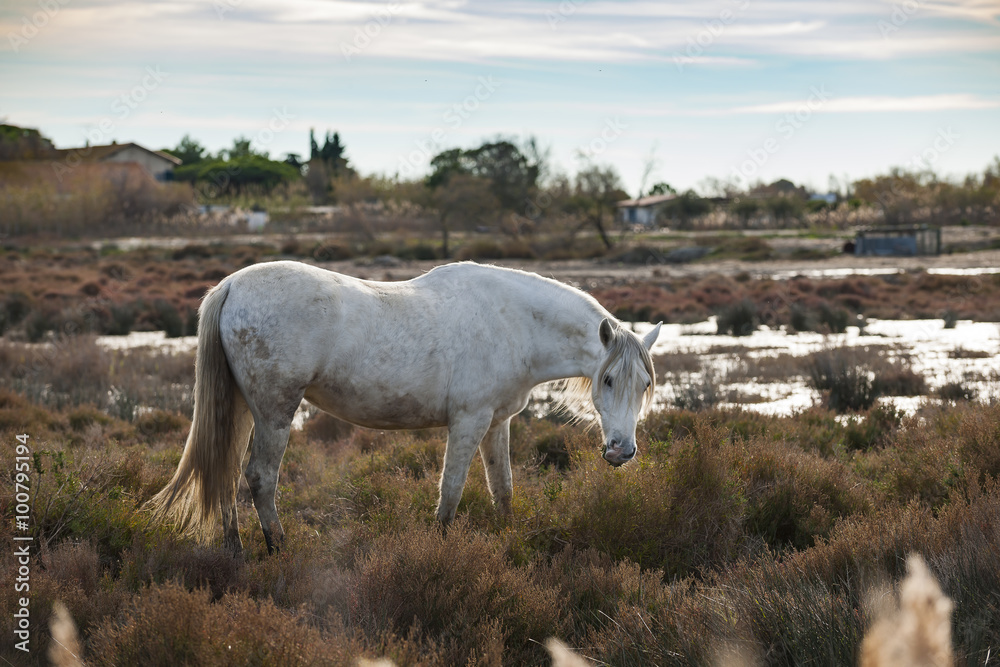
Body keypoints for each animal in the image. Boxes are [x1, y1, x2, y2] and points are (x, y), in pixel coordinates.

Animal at [146, 261, 661, 555]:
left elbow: (503, 489)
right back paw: (279, 549)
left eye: (645, 386)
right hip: (274, 411)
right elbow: (450, 492)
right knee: (259, 477)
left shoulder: (497, 423)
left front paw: (508, 540)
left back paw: (234, 551)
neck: (512, 321)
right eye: (608, 380)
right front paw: (437, 550)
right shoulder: (468, 421)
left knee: (225, 472)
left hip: (239, 406)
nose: (621, 452)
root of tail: (232, 286)